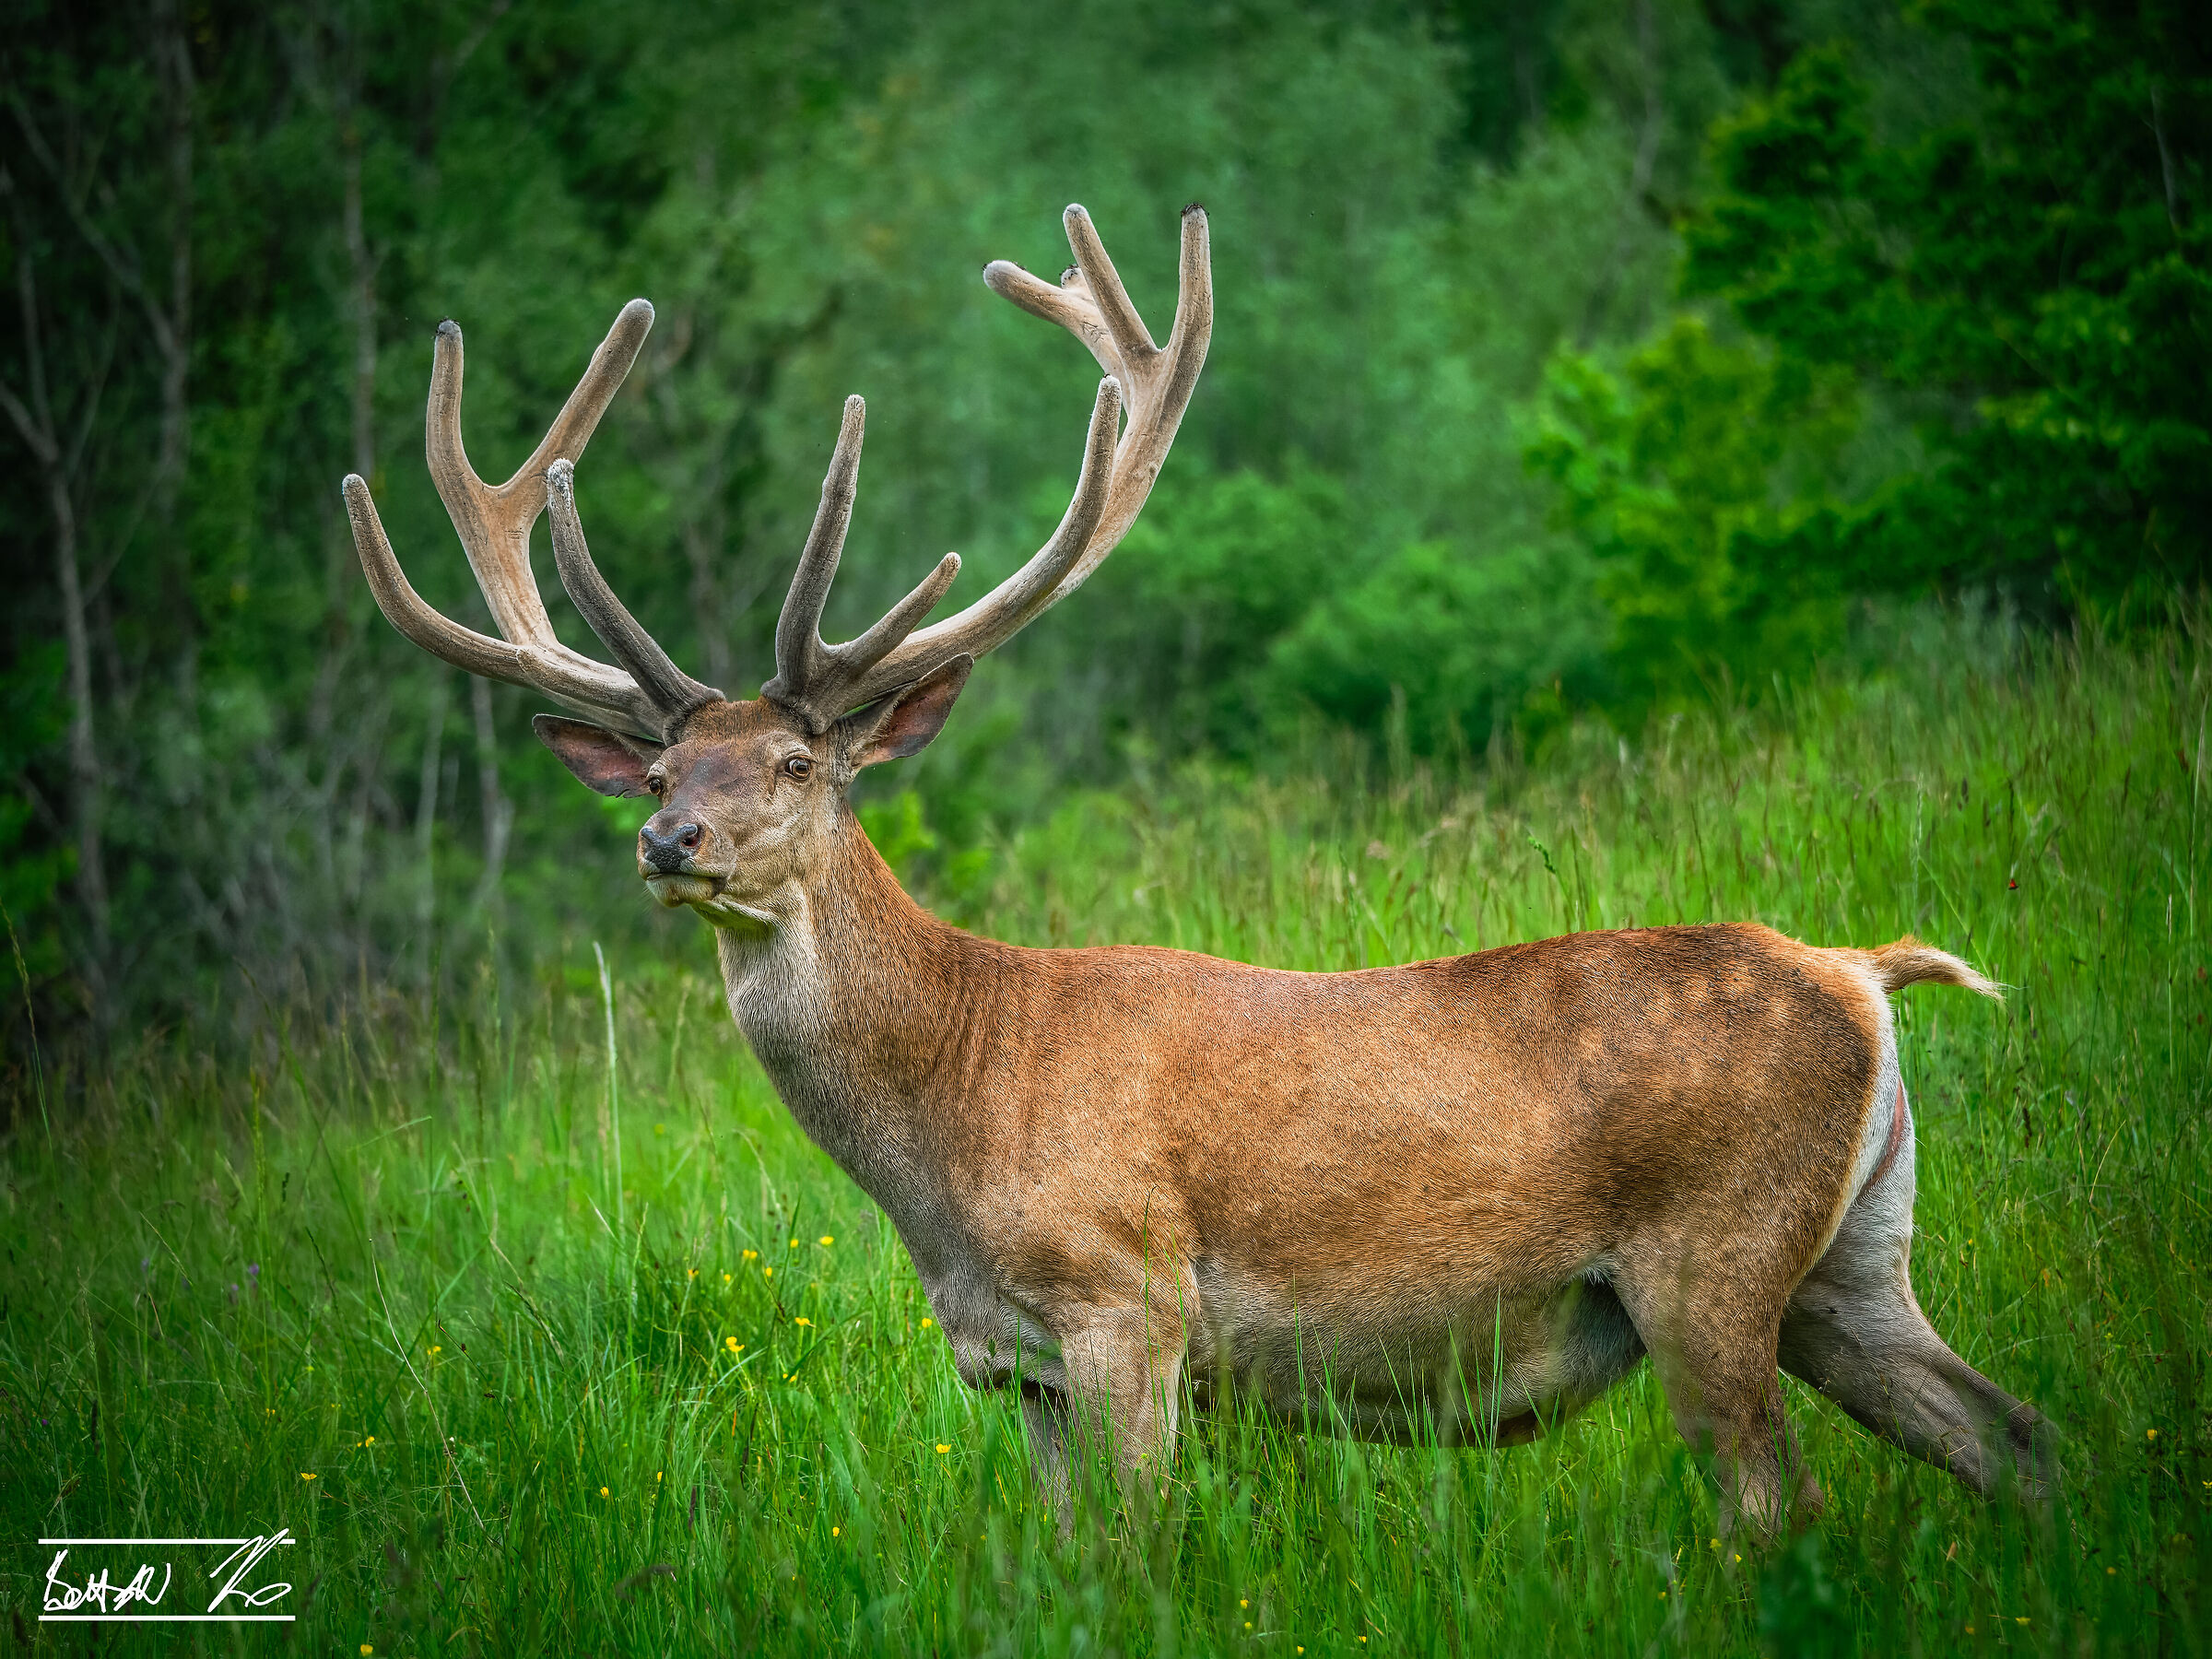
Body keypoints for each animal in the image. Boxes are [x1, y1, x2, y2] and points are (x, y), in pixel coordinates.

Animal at [341, 203, 2054, 1535]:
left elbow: (1139, 1555)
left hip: (1710, 1253)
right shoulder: (1015, 1367)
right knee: (2012, 1434)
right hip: (1853, 1262)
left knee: (1781, 1500)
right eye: (662, 768)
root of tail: (1863, 976)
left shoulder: (1131, 1305)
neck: (949, 1124)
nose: (667, 841)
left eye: (798, 766)